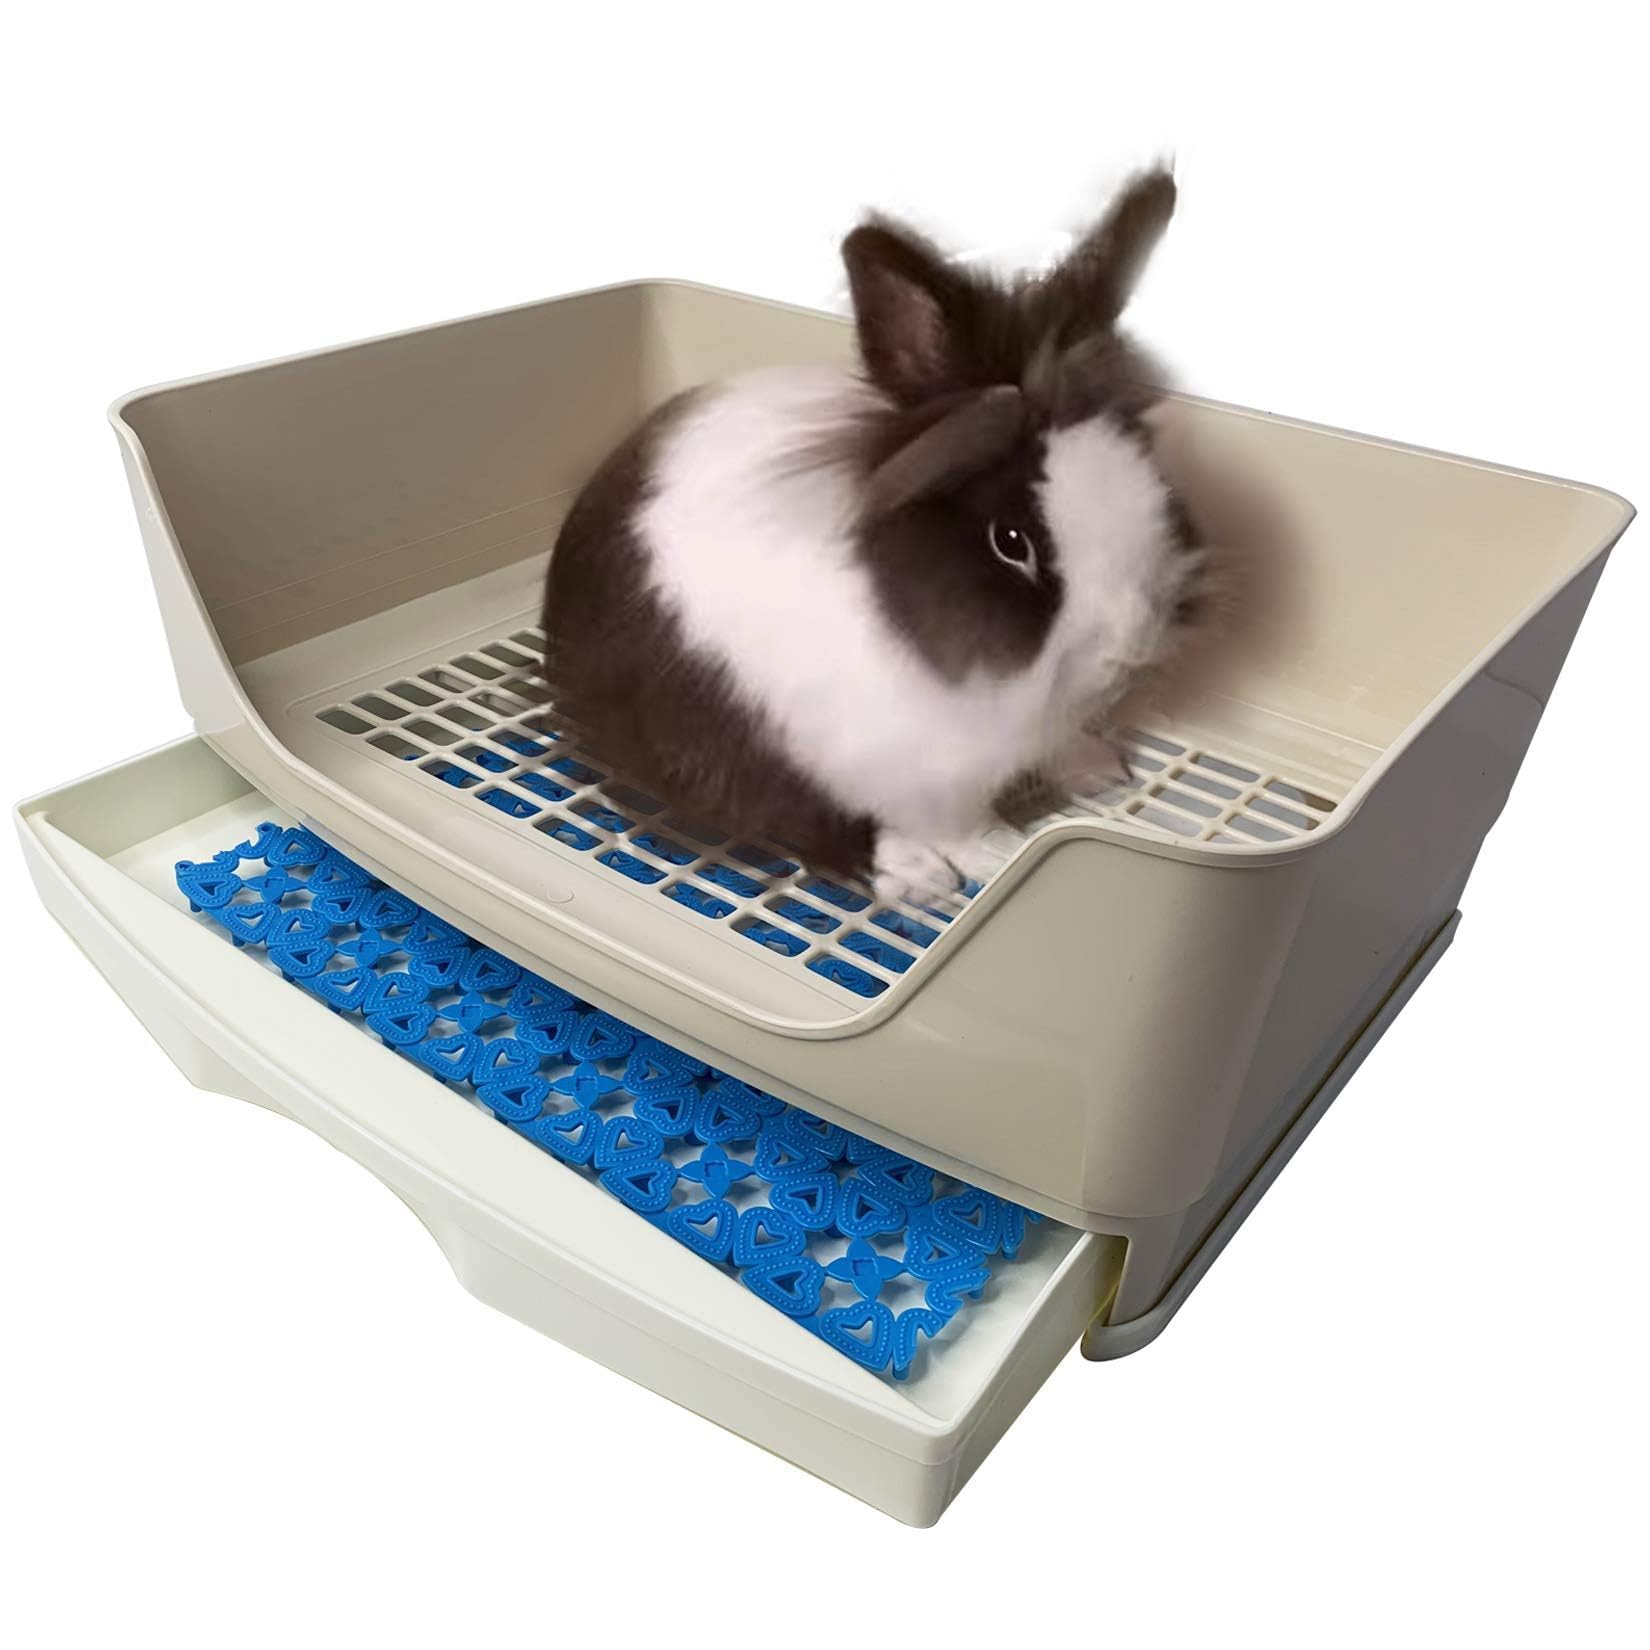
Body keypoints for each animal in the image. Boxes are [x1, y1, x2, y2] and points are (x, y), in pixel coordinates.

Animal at [541, 167, 1211, 906]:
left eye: (1154, 482)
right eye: (1011, 541)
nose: (1132, 650)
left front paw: (1099, 763)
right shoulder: (918, 774)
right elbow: (956, 825)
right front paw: (999, 853)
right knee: (787, 812)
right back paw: (914, 875)